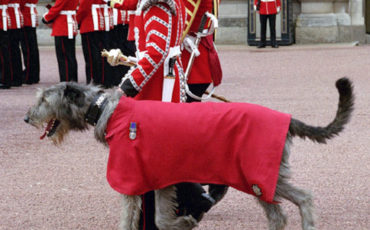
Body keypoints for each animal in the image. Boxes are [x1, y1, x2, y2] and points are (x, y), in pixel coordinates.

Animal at [24, 77, 354, 230]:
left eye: (44, 100)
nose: (26, 118)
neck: (108, 110)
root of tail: (285, 118)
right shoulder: (160, 178)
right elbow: (157, 217)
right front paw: (185, 221)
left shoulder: (133, 176)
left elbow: (140, 218)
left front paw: (185, 222)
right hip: (257, 179)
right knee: (277, 214)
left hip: (261, 173)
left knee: (304, 198)